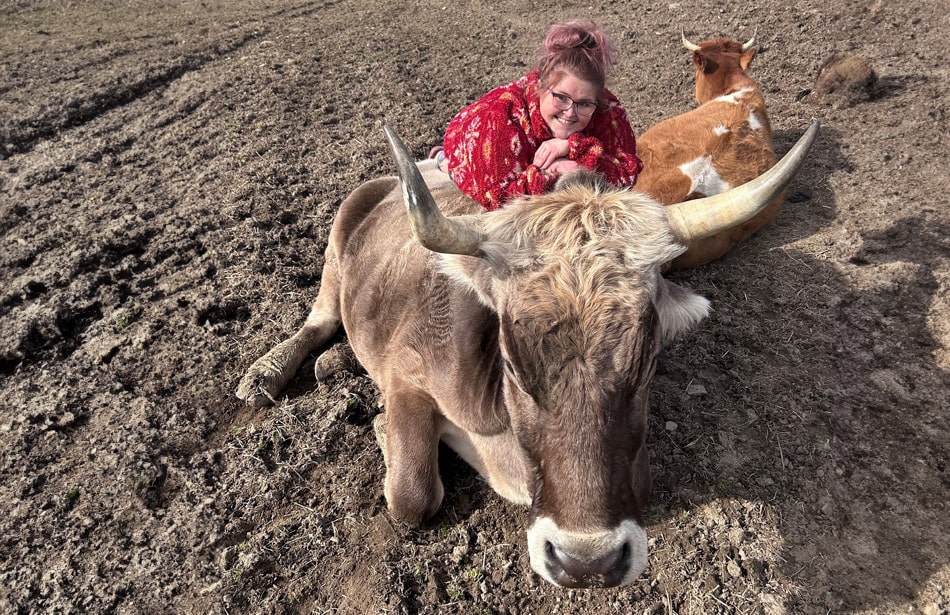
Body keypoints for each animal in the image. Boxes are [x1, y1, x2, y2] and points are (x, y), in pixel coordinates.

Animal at [236, 122, 817, 588]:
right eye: (512, 364)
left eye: (649, 363)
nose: (587, 563)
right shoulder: (407, 376)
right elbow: (411, 495)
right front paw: (381, 427)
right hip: (335, 253)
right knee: (320, 320)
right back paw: (267, 372)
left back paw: (331, 365)